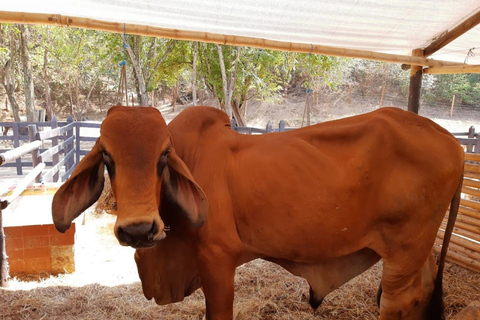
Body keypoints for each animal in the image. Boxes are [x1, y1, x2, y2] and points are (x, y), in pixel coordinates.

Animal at [52, 105, 464, 320]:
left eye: (164, 156)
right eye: (107, 157)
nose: (138, 229)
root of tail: (454, 144)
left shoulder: (217, 260)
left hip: (403, 252)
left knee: (399, 300)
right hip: (417, 250)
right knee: (424, 289)